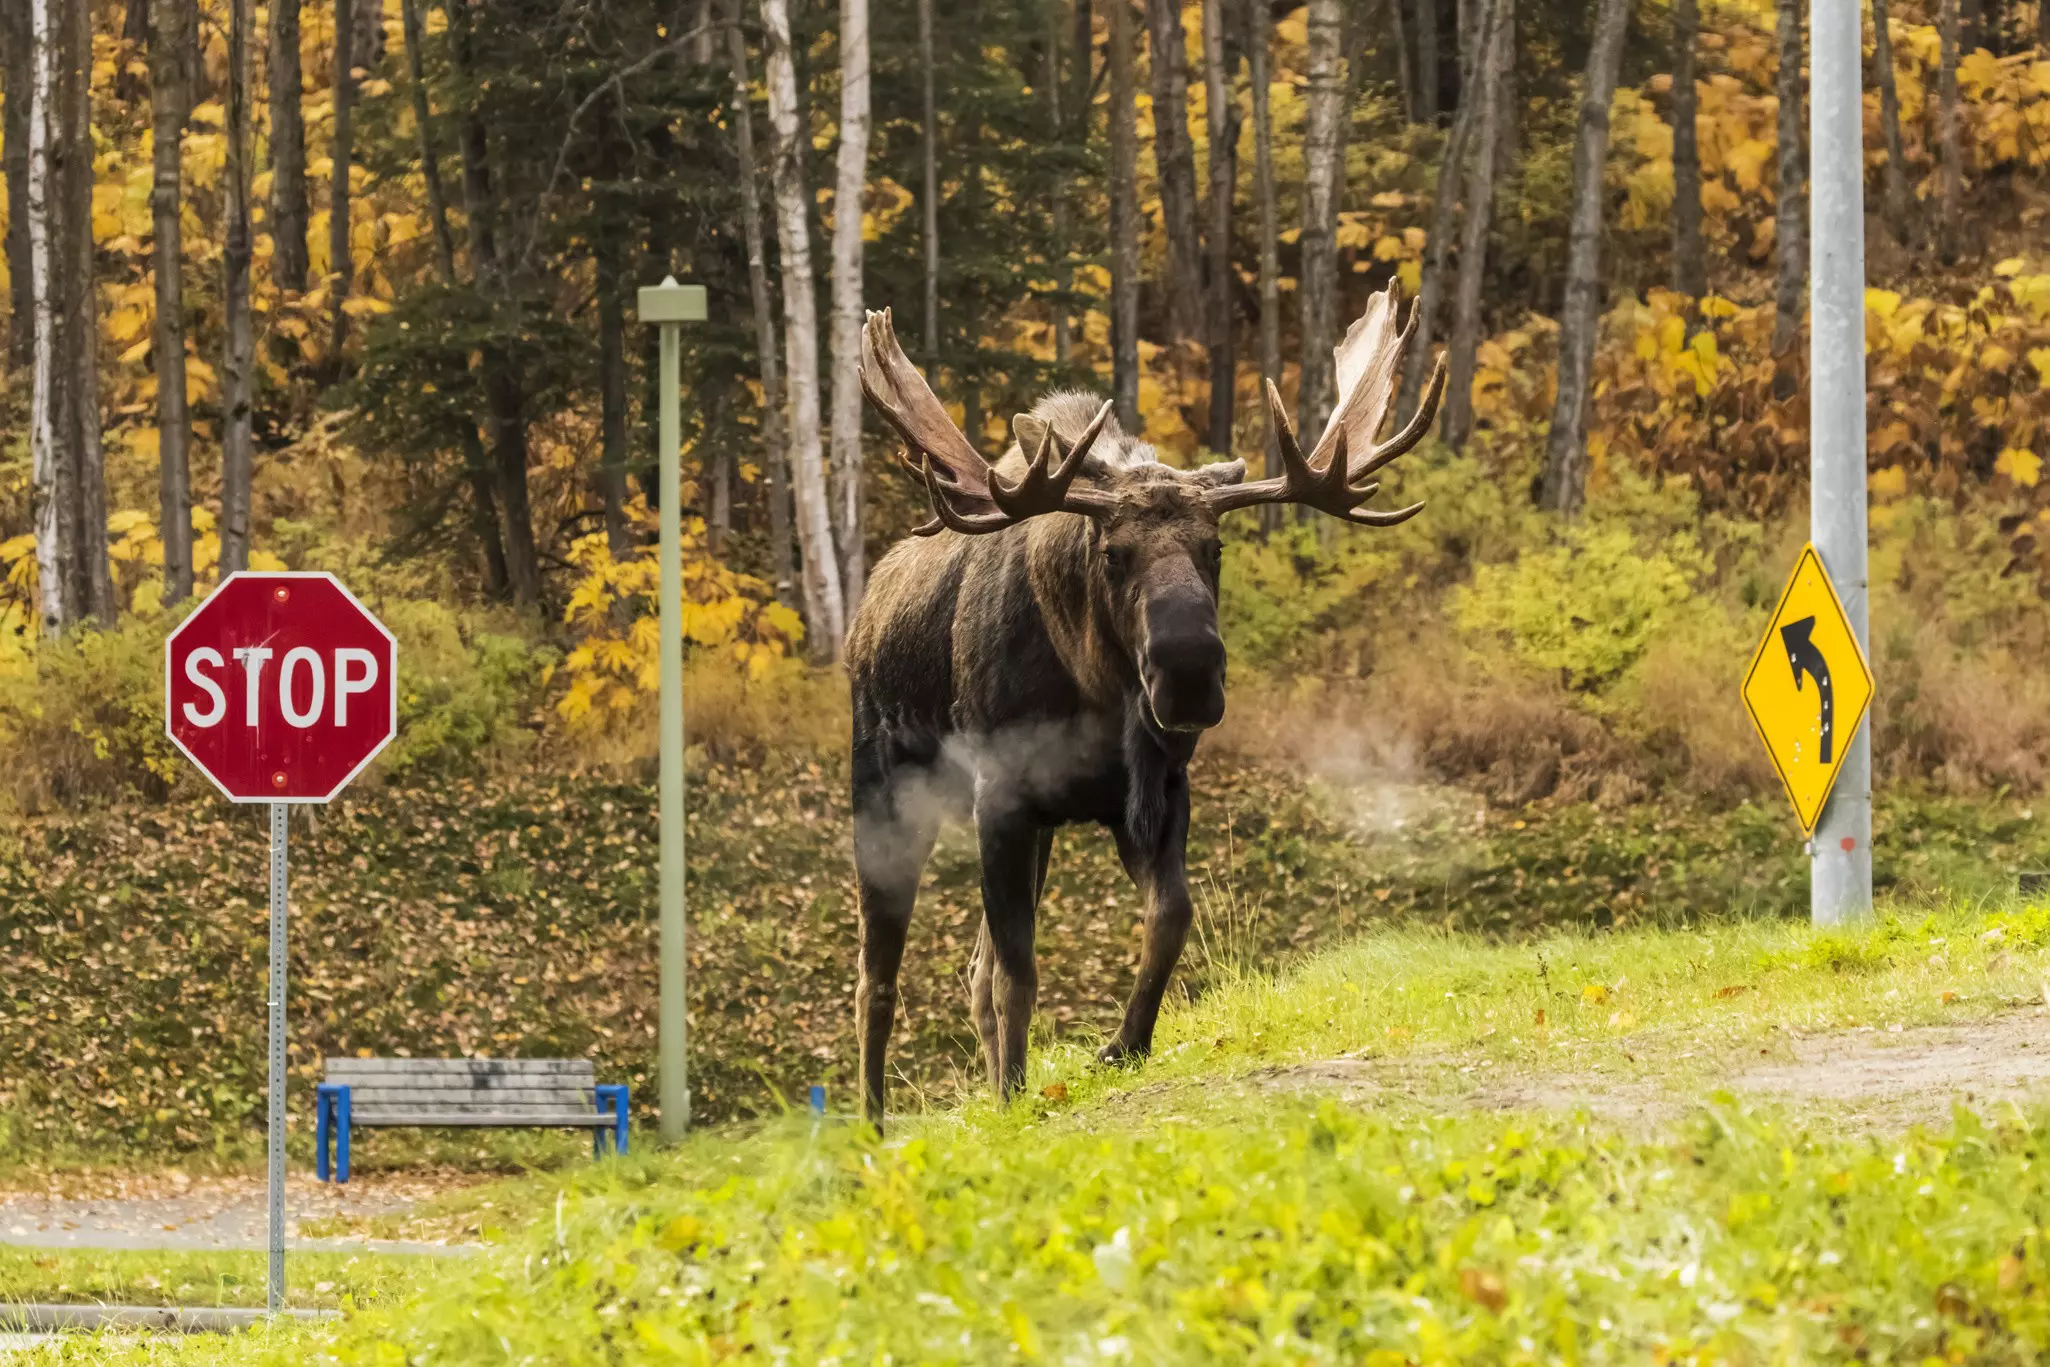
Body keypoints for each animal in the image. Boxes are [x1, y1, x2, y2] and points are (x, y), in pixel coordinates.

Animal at [846, 284, 1446, 1125]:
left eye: (1215, 547)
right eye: (1111, 553)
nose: (1188, 672)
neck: (1096, 694)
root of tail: (863, 618)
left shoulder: (1152, 789)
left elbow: (1168, 916)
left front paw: (1121, 1043)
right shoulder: (1003, 796)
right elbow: (1019, 972)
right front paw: (1016, 1096)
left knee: (969, 967)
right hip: (884, 792)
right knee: (877, 973)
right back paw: (871, 1119)